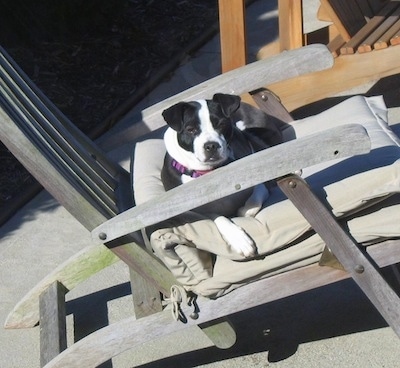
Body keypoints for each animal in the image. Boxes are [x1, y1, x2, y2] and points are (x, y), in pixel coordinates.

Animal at [161, 93, 282, 258]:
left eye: (221, 124)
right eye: (190, 129)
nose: (211, 145)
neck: (213, 172)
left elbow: (256, 194)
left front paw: (246, 209)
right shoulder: (198, 213)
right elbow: (219, 217)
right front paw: (239, 240)